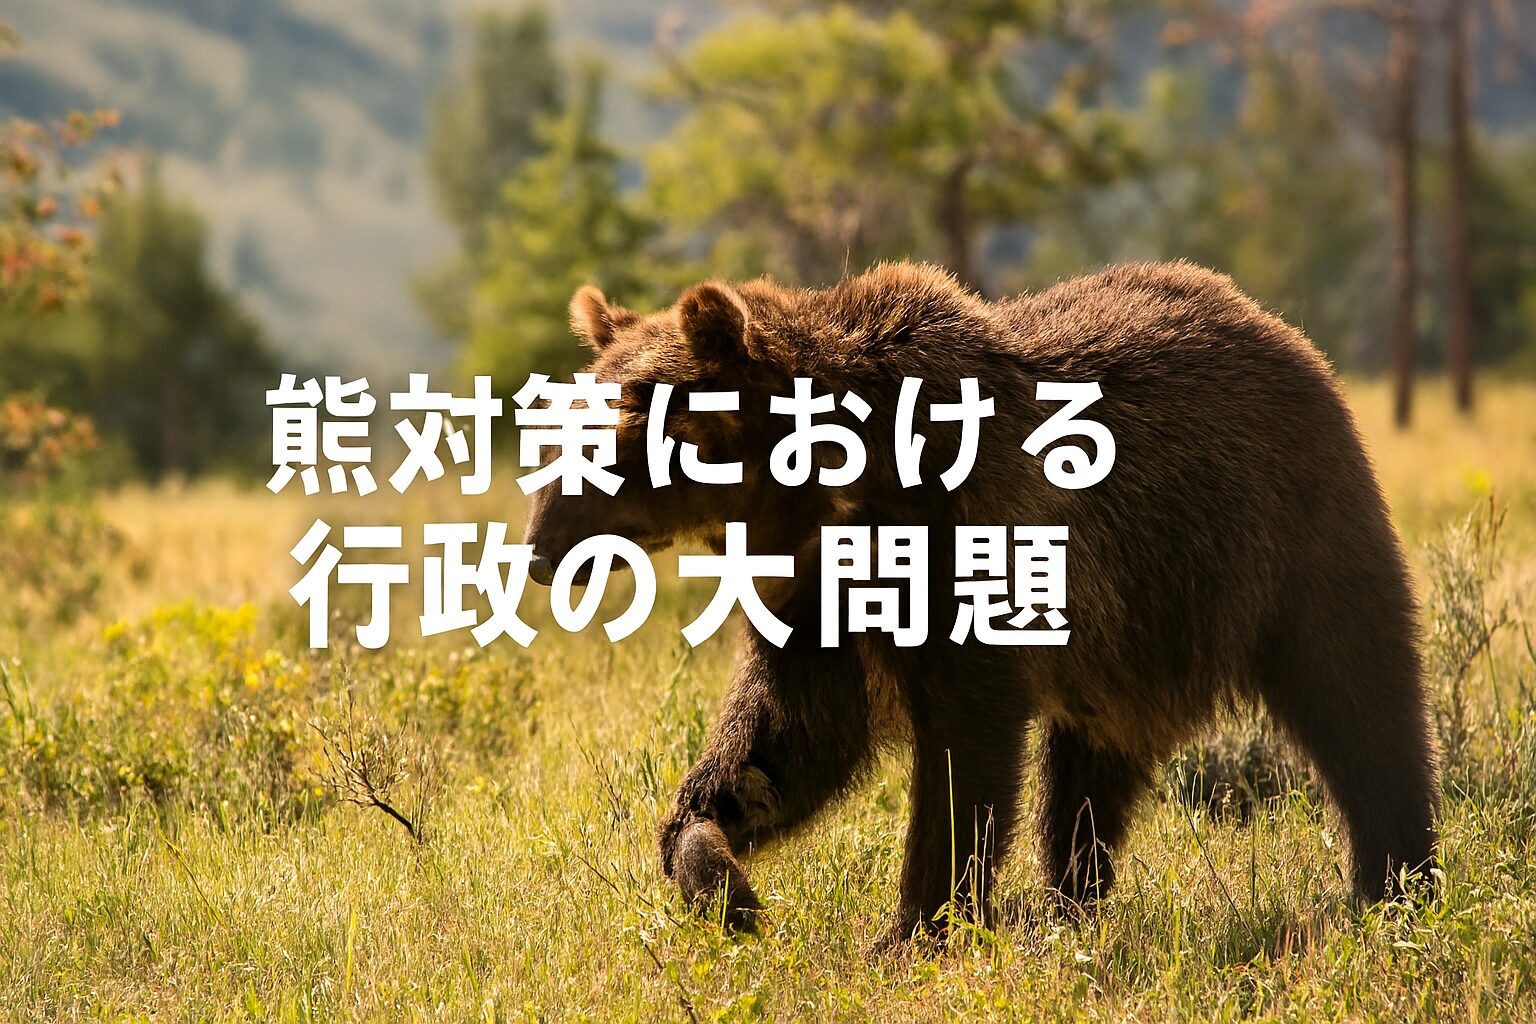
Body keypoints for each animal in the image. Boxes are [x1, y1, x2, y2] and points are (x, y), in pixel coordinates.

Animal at [520, 260, 1440, 947]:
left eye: (619, 434)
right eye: (557, 427)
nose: (538, 546)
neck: (827, 494)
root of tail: (1276, 324)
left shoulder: (955, 533)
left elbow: (964, 747)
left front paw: (915, 929)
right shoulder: (814, 597)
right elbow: (785, 740)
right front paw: (725, 880)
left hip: (1284, 533)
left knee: (1361, 699)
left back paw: (1398, 884)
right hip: (1127, 634)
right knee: (1089, 771)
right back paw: (1072, 904)